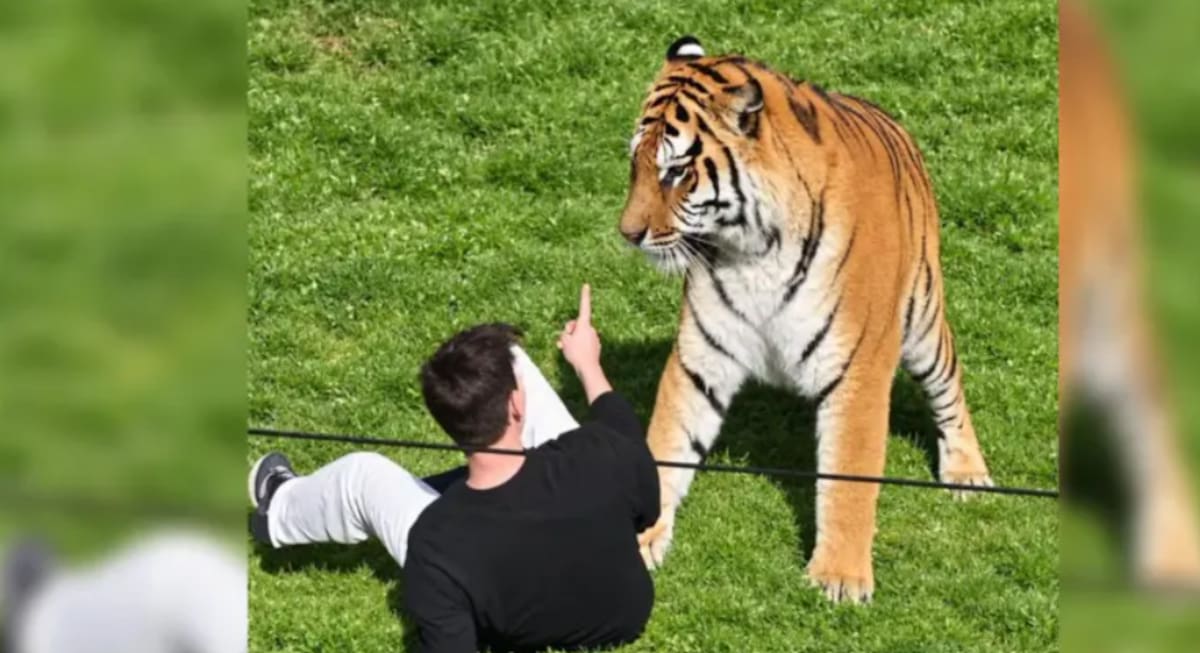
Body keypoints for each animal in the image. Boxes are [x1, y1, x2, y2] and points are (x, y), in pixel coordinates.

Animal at [618, 36, 992, 603]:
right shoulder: (700, 358)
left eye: (676, 172)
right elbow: (667, 444)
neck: (753, 250)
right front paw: (638, 540)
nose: (628, 233)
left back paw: (968, 473)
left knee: (949, 388)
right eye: (635, 165)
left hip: (924, 318)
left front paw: (838, 577)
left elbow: (848, 476)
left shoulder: (858, 368)